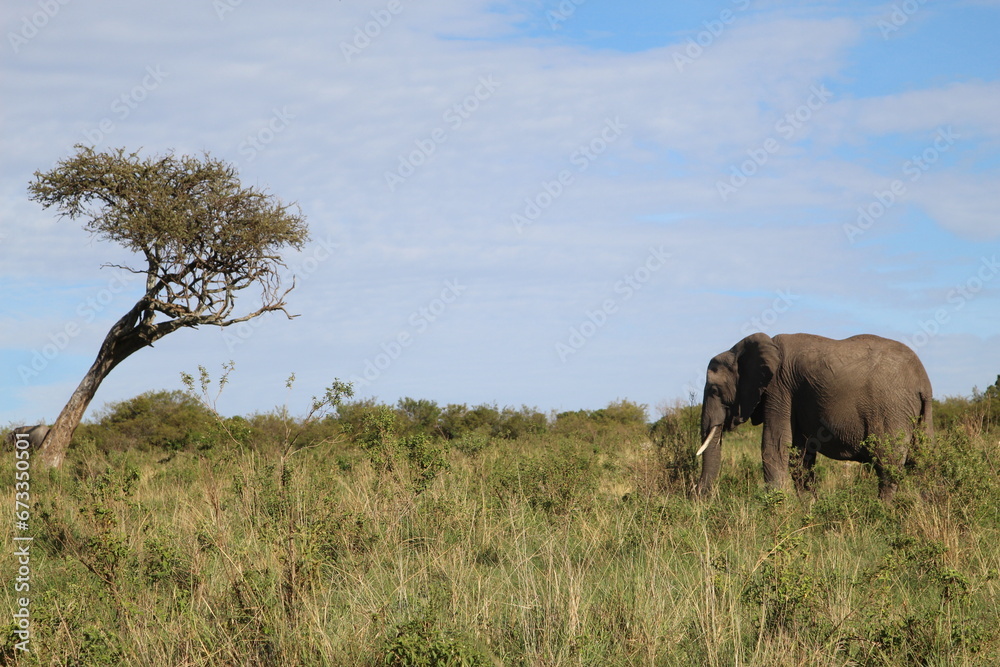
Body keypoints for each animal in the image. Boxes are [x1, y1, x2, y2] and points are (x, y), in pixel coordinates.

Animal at [695, 333, 932, 501]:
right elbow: (800, 456)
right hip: (918, 413)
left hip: (890, 410)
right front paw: (809, 510)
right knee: (921, 463)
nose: (699, 497)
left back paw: (883, 511)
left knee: (887, 466)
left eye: (714, 391)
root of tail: (922, 381)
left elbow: (774, 447)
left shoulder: (779, 389)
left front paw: (776, 511)